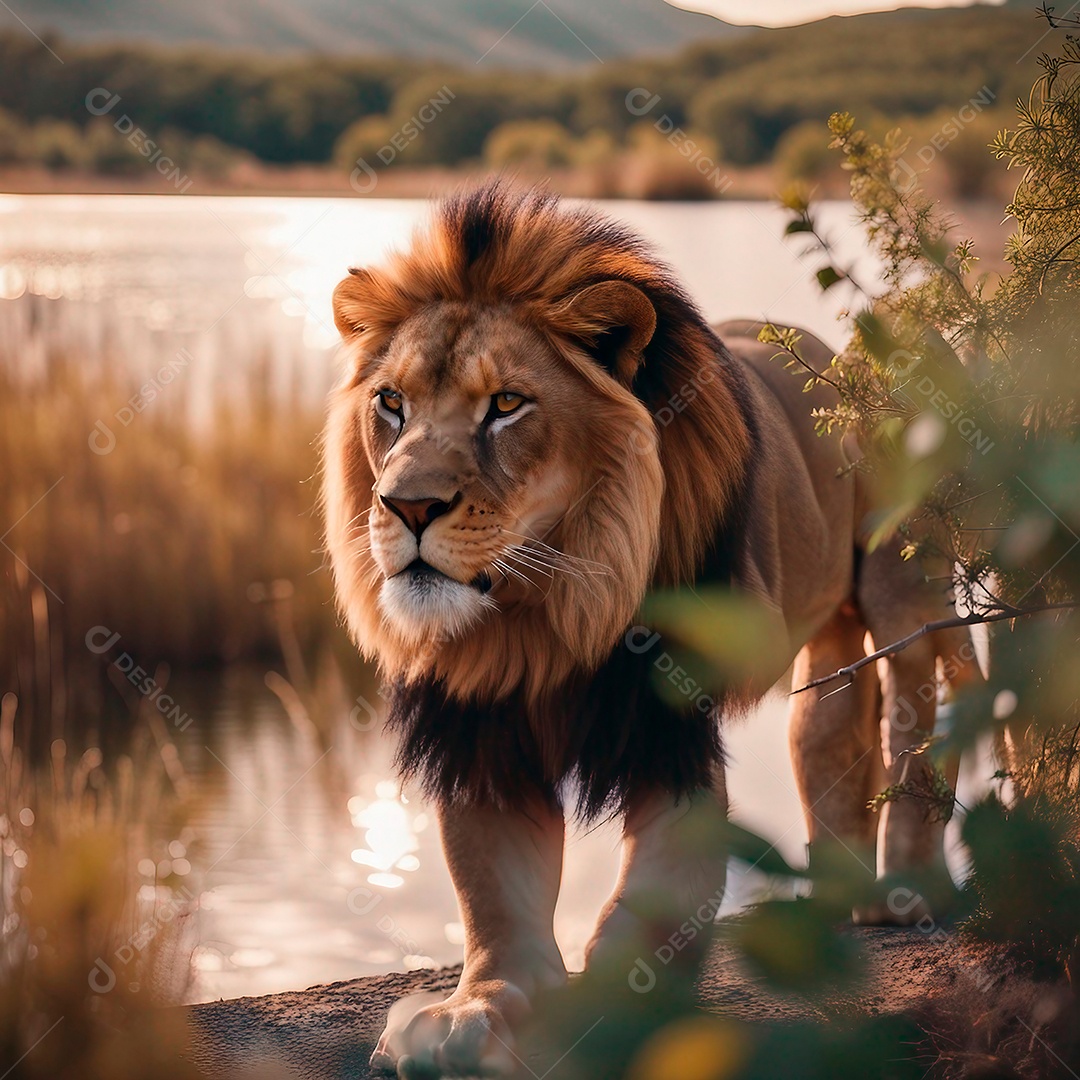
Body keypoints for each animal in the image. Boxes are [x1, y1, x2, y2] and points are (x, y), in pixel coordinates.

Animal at [317, 181, 980, 1075]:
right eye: (391, 403)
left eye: (506, 405)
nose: (407, 506)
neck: (546, 609)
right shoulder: (484, 728)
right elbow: (494, 894)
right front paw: (471, 1013)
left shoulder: (669, 723)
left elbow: (660, 895)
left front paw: (612, 1005)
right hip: (830, 627)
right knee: (829, 726)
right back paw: (836, 897)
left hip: (902, 582)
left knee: (916, 706)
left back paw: (908, 889)